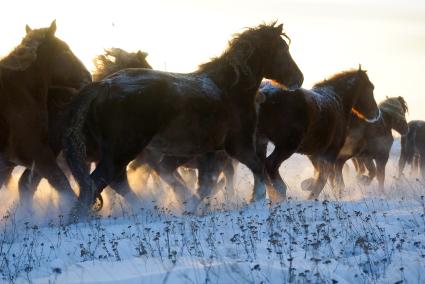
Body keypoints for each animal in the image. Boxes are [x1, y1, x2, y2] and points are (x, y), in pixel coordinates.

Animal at [62, 22, 302, 214]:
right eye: (282, 49)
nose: (298, 79)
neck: (229, 89)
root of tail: (104, 86)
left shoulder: (207, 151)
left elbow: (204, 184)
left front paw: (189, 206)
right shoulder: (237, 146)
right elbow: (257, 168)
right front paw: (256, 199)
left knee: (113, 182)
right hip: (122, 150)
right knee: (99, 182)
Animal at [255, 67, 378, 200]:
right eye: (370, 87)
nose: (376, 113)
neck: (338, 100)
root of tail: (264, 93)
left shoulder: (314, 154)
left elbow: (322, 174)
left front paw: (308, 186)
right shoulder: (331, 153)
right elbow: (326, 177)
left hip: (262, 143)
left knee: (262, 168)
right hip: (286, 146)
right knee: (270, 165)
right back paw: (280, 192)